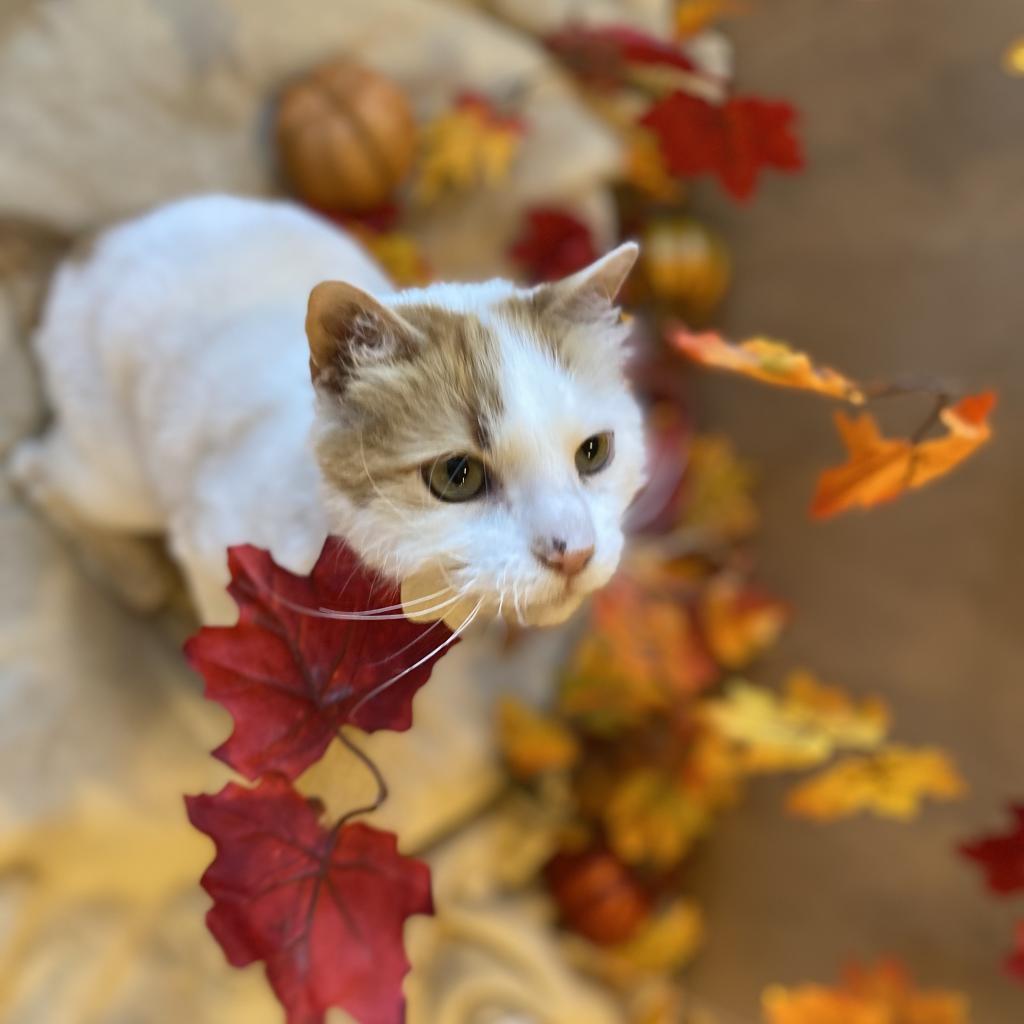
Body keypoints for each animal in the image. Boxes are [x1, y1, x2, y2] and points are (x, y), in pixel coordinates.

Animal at [9, 193, 647, 630]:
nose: (576, 551)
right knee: (34, 470)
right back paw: (131, 574)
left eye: (594, 453)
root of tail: (92, 241)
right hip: (118, 477)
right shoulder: (211, 547)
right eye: (457, 475)